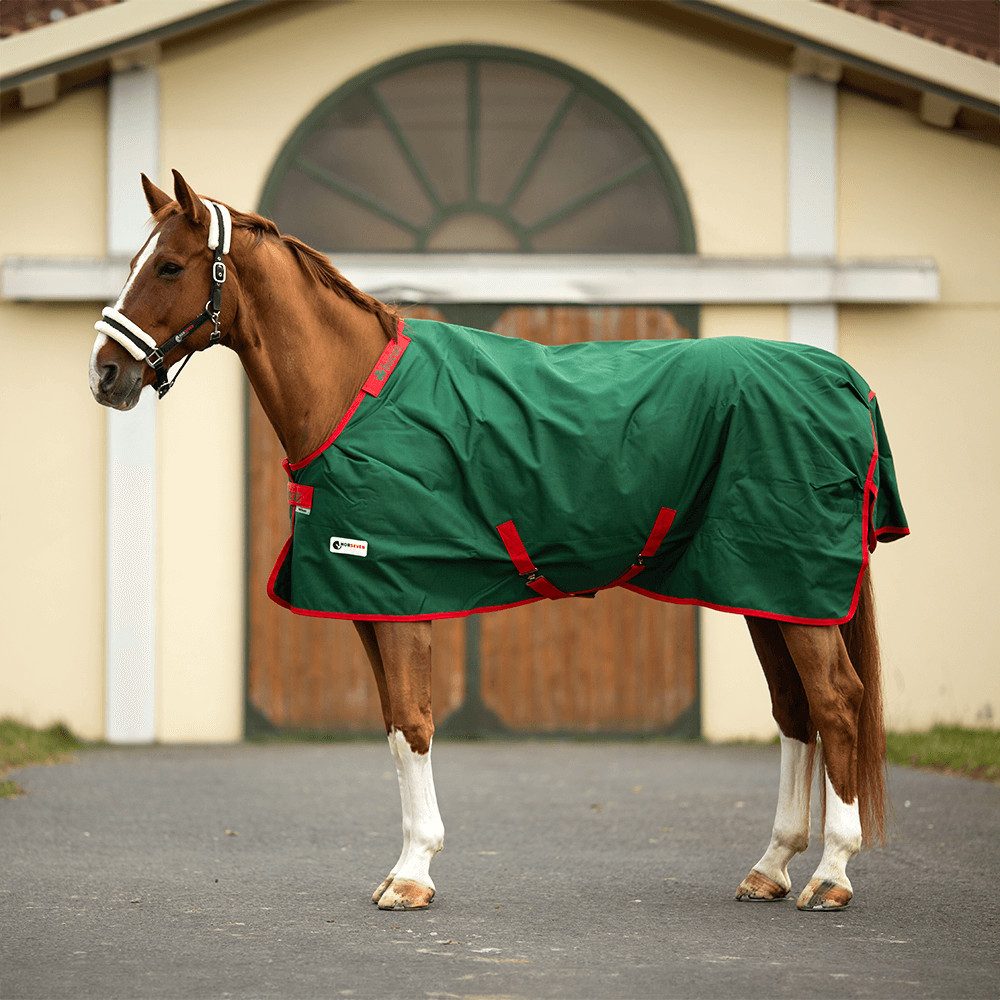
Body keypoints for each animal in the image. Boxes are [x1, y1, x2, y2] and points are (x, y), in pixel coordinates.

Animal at [90, 170, 908, 913]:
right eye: (136, 259)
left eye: (169, 266)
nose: (105, 374)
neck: (357, 394)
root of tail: (844, 379)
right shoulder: (369, 605)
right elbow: (394, 730)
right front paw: (402, 868)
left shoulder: (404, 602)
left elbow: (414, 726)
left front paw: (413, 875)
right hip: (765, 588)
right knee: (795, 710)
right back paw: (770, 867)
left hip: (791, 584)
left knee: (837, 702)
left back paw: (831, 876)